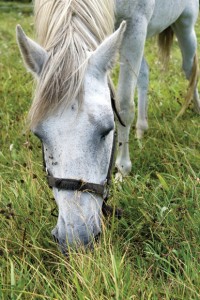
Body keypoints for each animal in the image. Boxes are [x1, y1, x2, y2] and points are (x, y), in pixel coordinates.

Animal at [16, 1, 199, 252]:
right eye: (39, 135)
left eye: (107, 130)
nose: (76, 238)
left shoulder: (135, 26)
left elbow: (123, 104)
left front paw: (123, 169)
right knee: (144, 73)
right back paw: (141, 129)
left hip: (185, 23)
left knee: (190, 68)